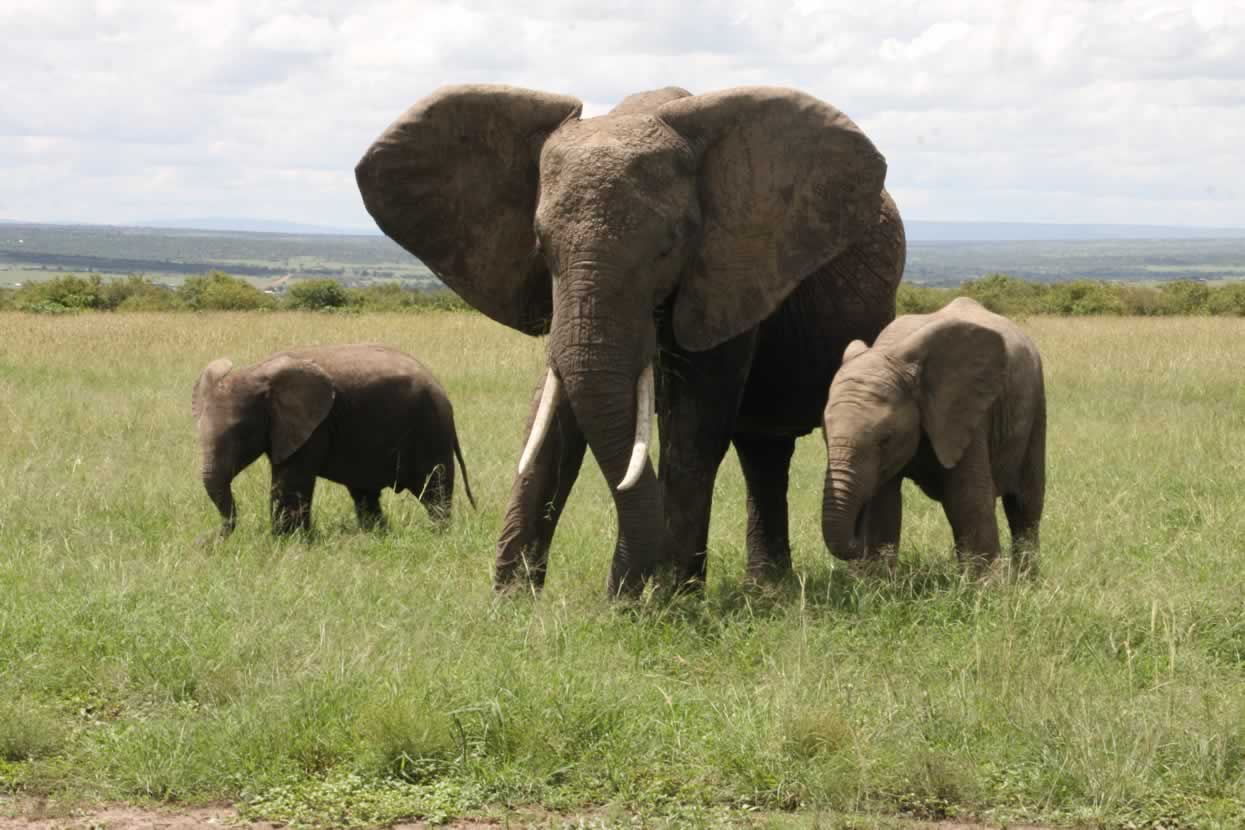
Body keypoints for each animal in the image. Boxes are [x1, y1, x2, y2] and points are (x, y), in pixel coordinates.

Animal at [194, 343, 475, 540]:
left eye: (241, 434)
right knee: (365, 493)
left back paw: (437, 535)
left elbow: (290, 481)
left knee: (434, 490)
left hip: (430, 429)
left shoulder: (314, 426)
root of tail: (442, 391)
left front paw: (285, 542)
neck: (256, 373)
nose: (207, 540)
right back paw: (375, 536)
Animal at [356, 84, 901, 594]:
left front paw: (664, 602)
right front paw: (511, 603)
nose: (623, 591)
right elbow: (553, 413)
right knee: (762, 448)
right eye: (541, 244)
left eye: (668, 247)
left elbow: (694, 427)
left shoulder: (727, 274)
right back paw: (767, 588)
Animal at [821, 294, 1045, 574]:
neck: (890, 353)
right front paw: (879, 581)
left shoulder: (964, 413)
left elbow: (967, 499)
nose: (856, 540)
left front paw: (988, 585)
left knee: (1025, 504)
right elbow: (884, 504)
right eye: (824, 435)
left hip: (1036, 403)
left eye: (885, 439)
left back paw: (1026, 578)